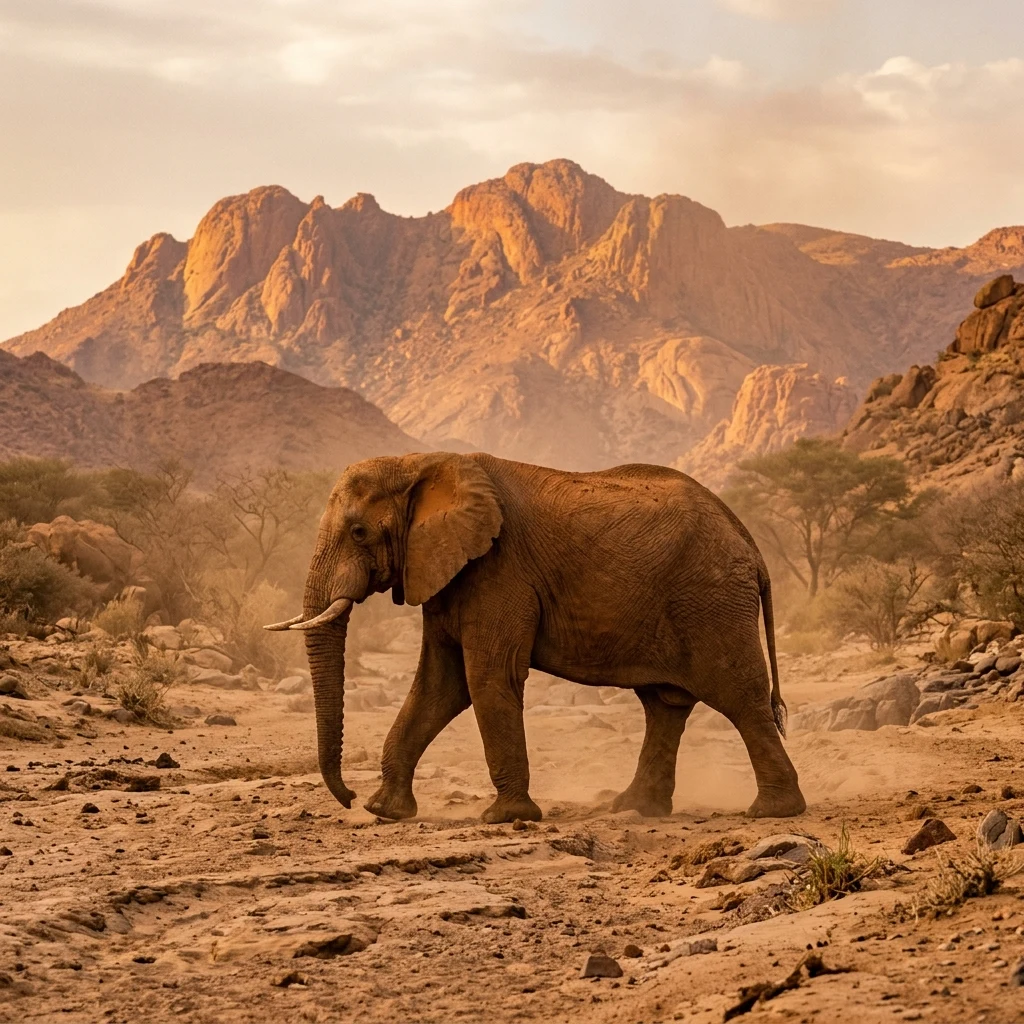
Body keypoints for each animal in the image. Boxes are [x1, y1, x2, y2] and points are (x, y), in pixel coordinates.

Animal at [266, 452, 805, 824]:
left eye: (358, 532)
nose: (349, 798)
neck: (420, 463)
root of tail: (748, 540)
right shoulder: (446, 572)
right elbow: (440, 686)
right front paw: (385, 812)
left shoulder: (498, 570)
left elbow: (485, 678)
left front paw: (505, 818)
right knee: (664, 704)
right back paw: (633, 809)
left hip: (711, 600)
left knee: (738, 696)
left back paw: (773, 812)